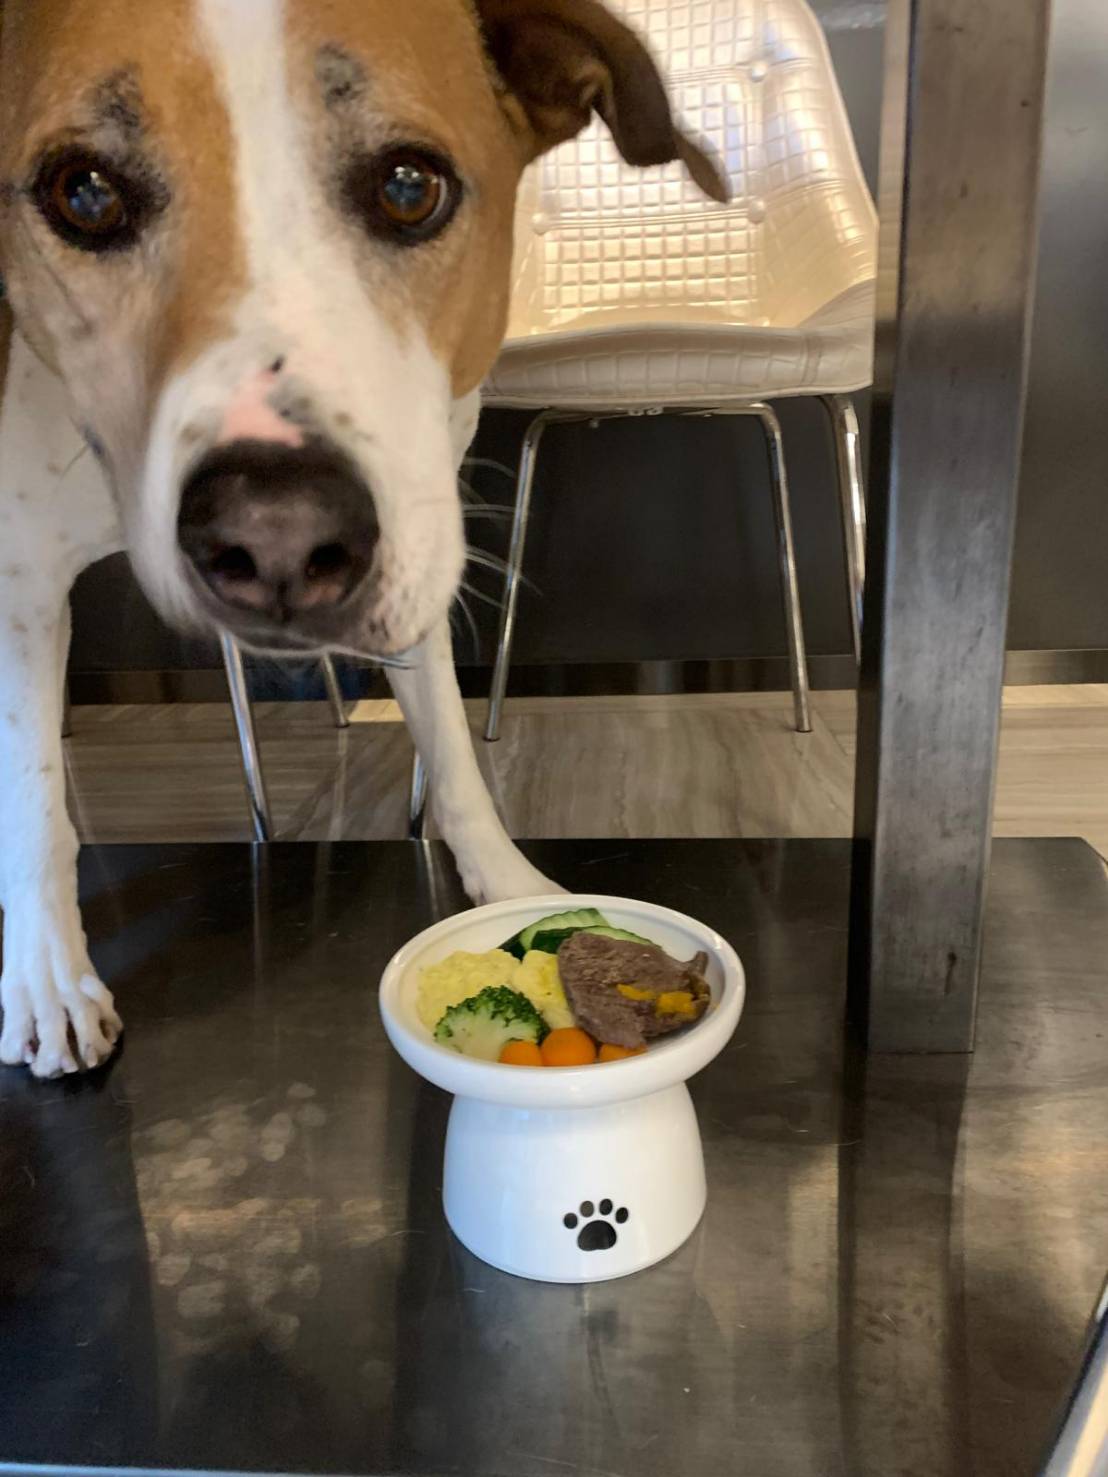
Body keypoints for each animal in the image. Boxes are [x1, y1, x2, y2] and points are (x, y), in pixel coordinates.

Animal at [0, 0, 724, 1077]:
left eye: (408, 186)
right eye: (83, 193)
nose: (277, 534)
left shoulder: (419, 515)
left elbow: (451, 743)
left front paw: (507, 885)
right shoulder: (21, 582)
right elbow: (33, 791)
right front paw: (49, 978)